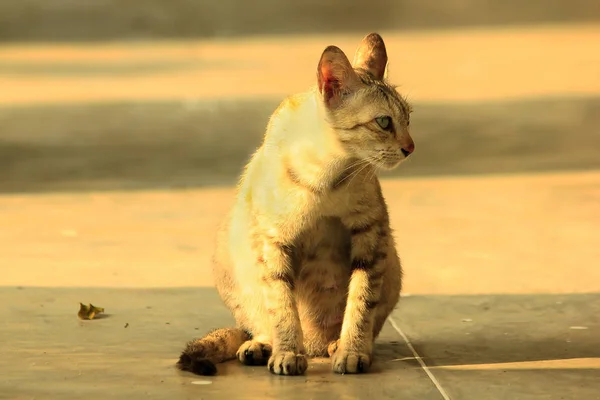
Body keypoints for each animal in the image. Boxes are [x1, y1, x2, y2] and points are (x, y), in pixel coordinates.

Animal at [176, 32, 414, 376]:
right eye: (384, 122)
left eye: (408, 118)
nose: (411, 147)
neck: (327, 177)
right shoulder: (273, 240)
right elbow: (282, 305)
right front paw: (287, 352)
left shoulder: (371, 234)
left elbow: (361, 301)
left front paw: (352, 350)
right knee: (255, 324)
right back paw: (262, 347)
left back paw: (334, 345)